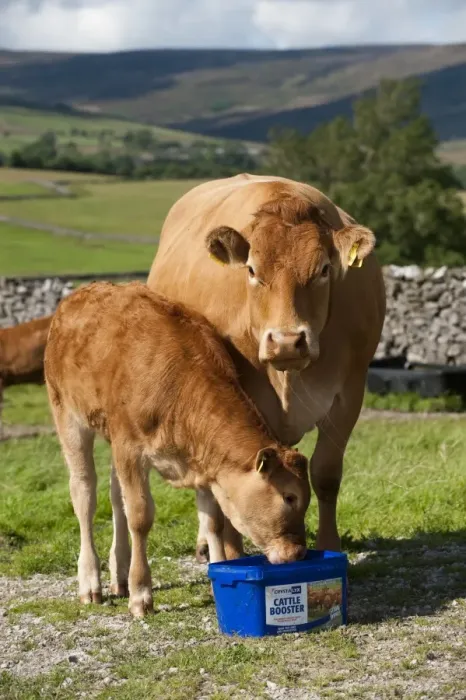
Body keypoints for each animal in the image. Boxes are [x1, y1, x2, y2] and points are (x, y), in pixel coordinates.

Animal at [45, 281, 311, 617]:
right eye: (289, 497)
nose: (297, 553)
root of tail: (77, 295)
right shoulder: (131, 447)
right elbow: (140, 516)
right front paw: (141, 594)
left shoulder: (204, 464)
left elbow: (212, 520)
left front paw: (217, 573)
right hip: (68, 414)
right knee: (84, 494)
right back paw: (91, 583)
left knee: (115, 497)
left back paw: (119, 576)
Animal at [147, 173, 386, 562]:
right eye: (252, 270)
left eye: (323, 270)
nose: (287, 341)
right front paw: (233, 554)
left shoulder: (349, 392)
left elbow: (326, 473)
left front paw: (329, 546)